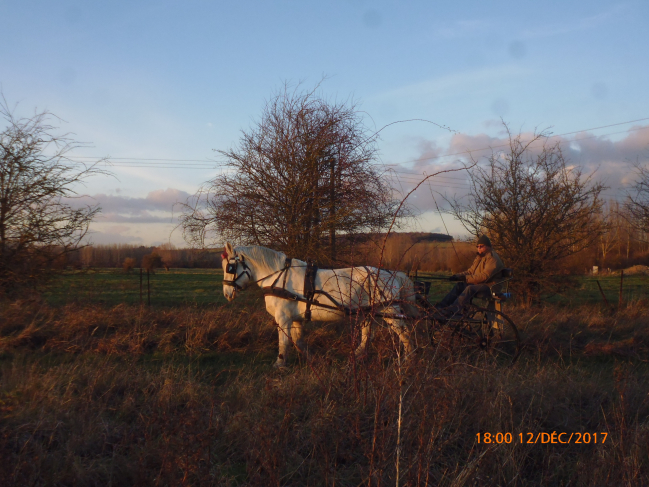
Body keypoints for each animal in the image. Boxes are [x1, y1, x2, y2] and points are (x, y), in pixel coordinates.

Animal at [220, 242, 418, 368]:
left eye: (230, 268)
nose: (227, 293)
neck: (278, 276)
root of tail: (391, 273)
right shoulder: (296, 319)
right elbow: (298, 341)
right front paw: (314, 360)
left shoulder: (283, 318)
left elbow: (284, 341)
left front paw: (280, 363)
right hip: (368, 312)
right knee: (367, 335)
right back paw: (356, 356)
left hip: (390, 310)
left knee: (404, 333)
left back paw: (408, 360)